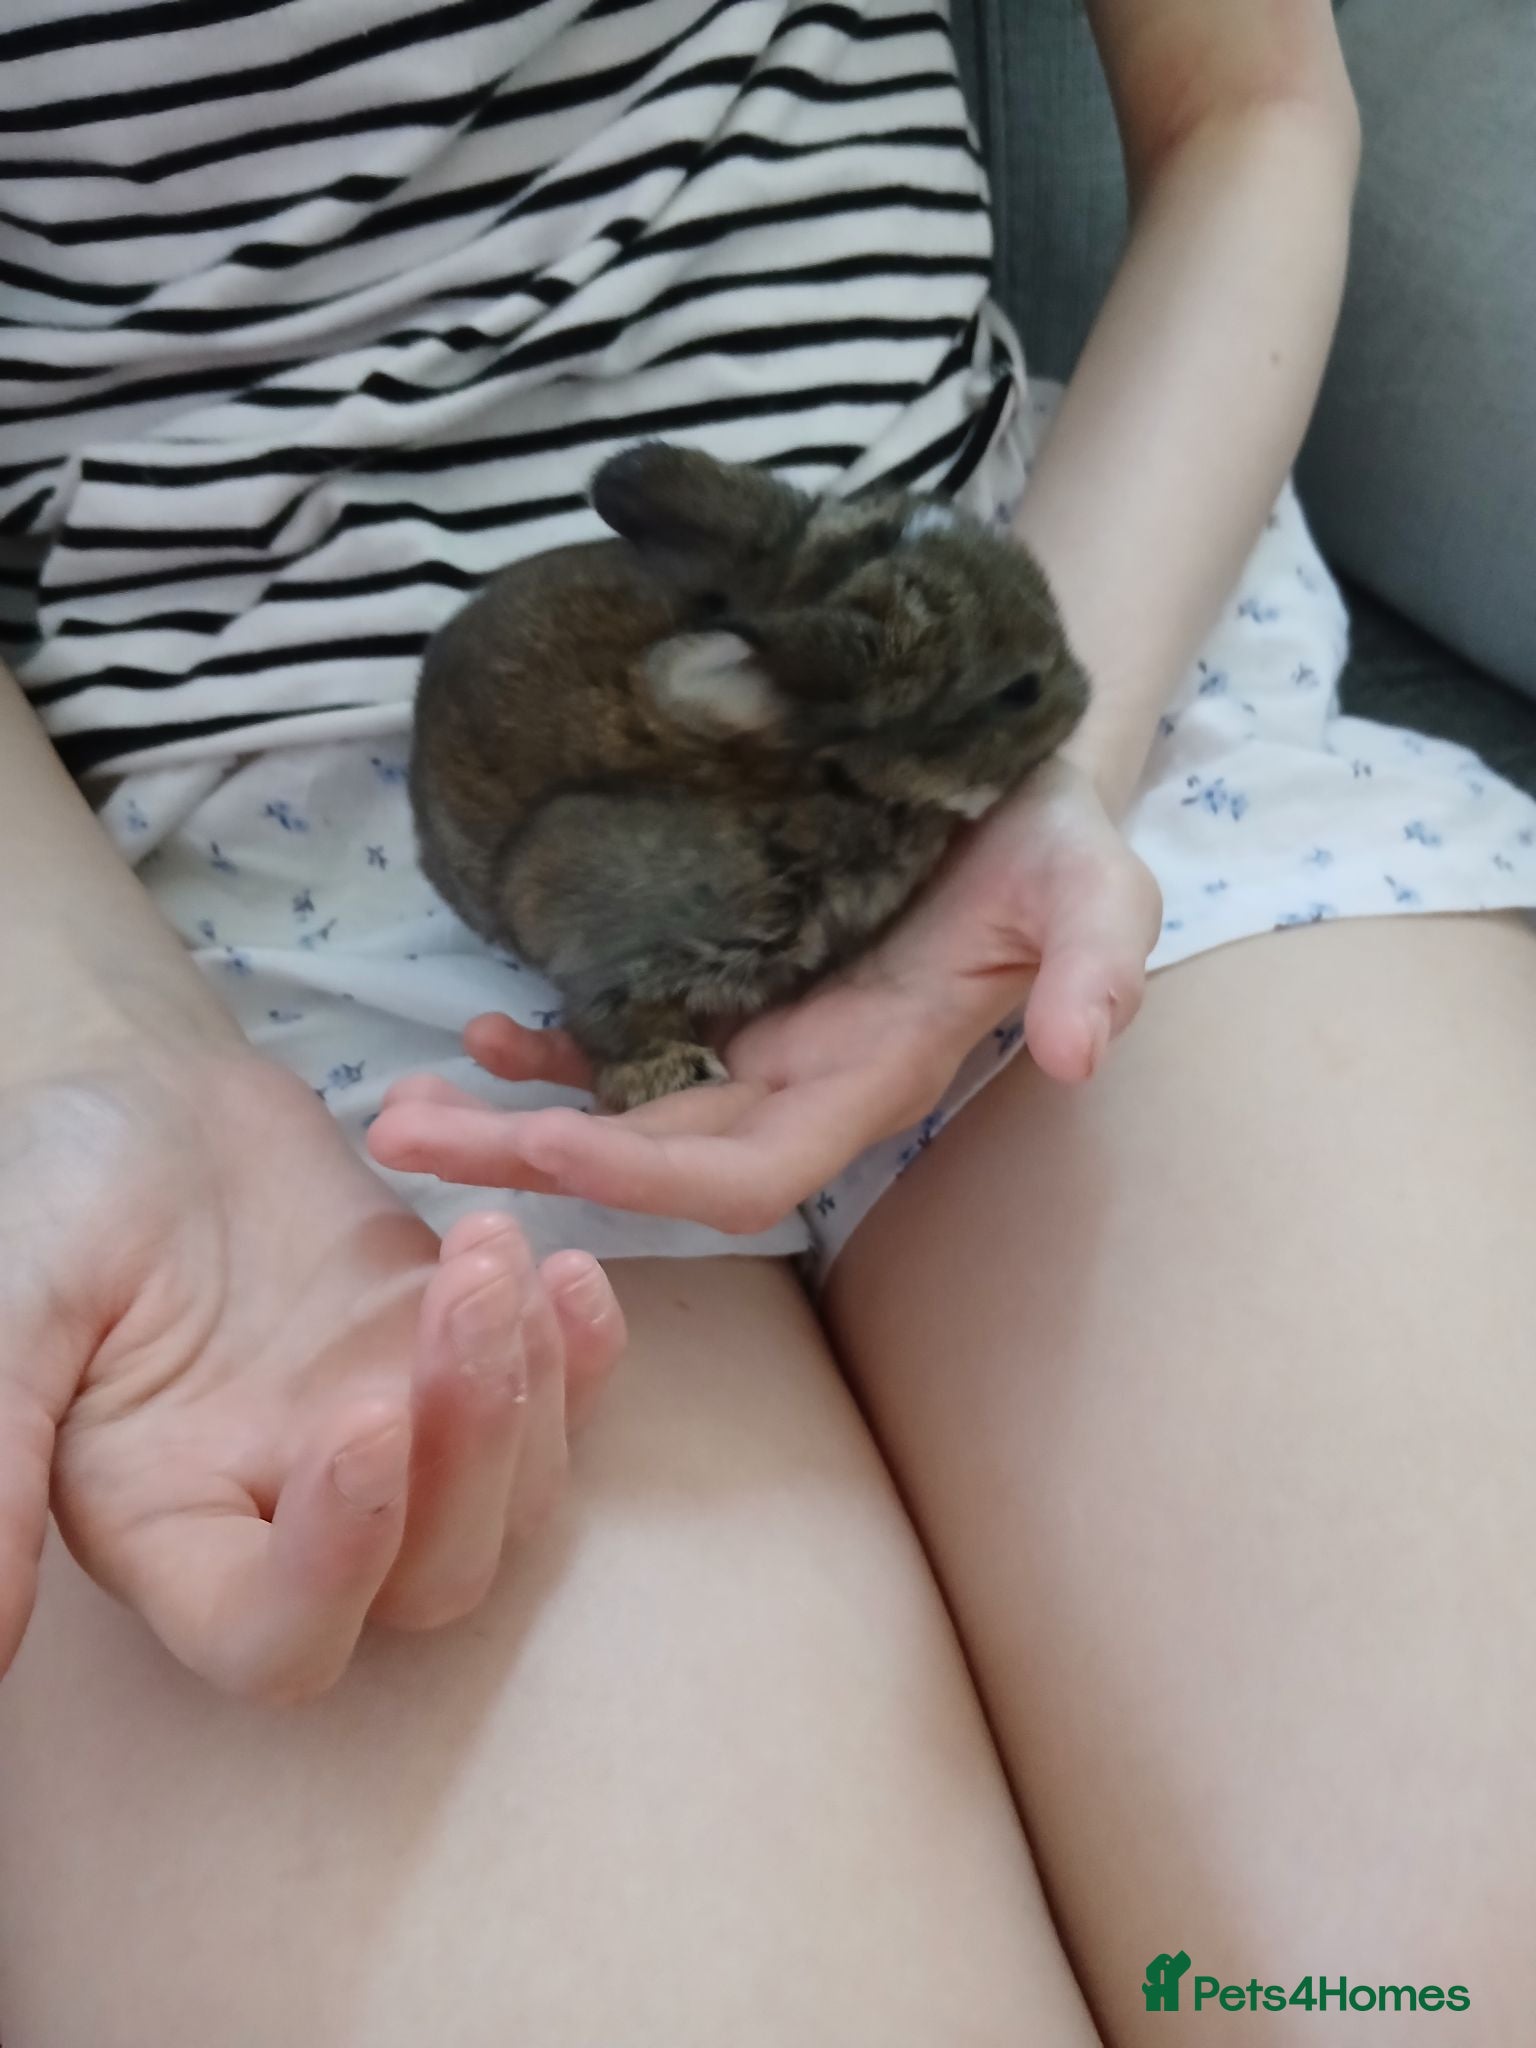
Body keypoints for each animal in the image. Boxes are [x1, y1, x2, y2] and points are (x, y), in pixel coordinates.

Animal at [409, 440, 1090, 1110]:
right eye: (1020, 690)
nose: (1083, 693)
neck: (825, 774)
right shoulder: (593, 926)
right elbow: (612, 1016)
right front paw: (675, 1073)